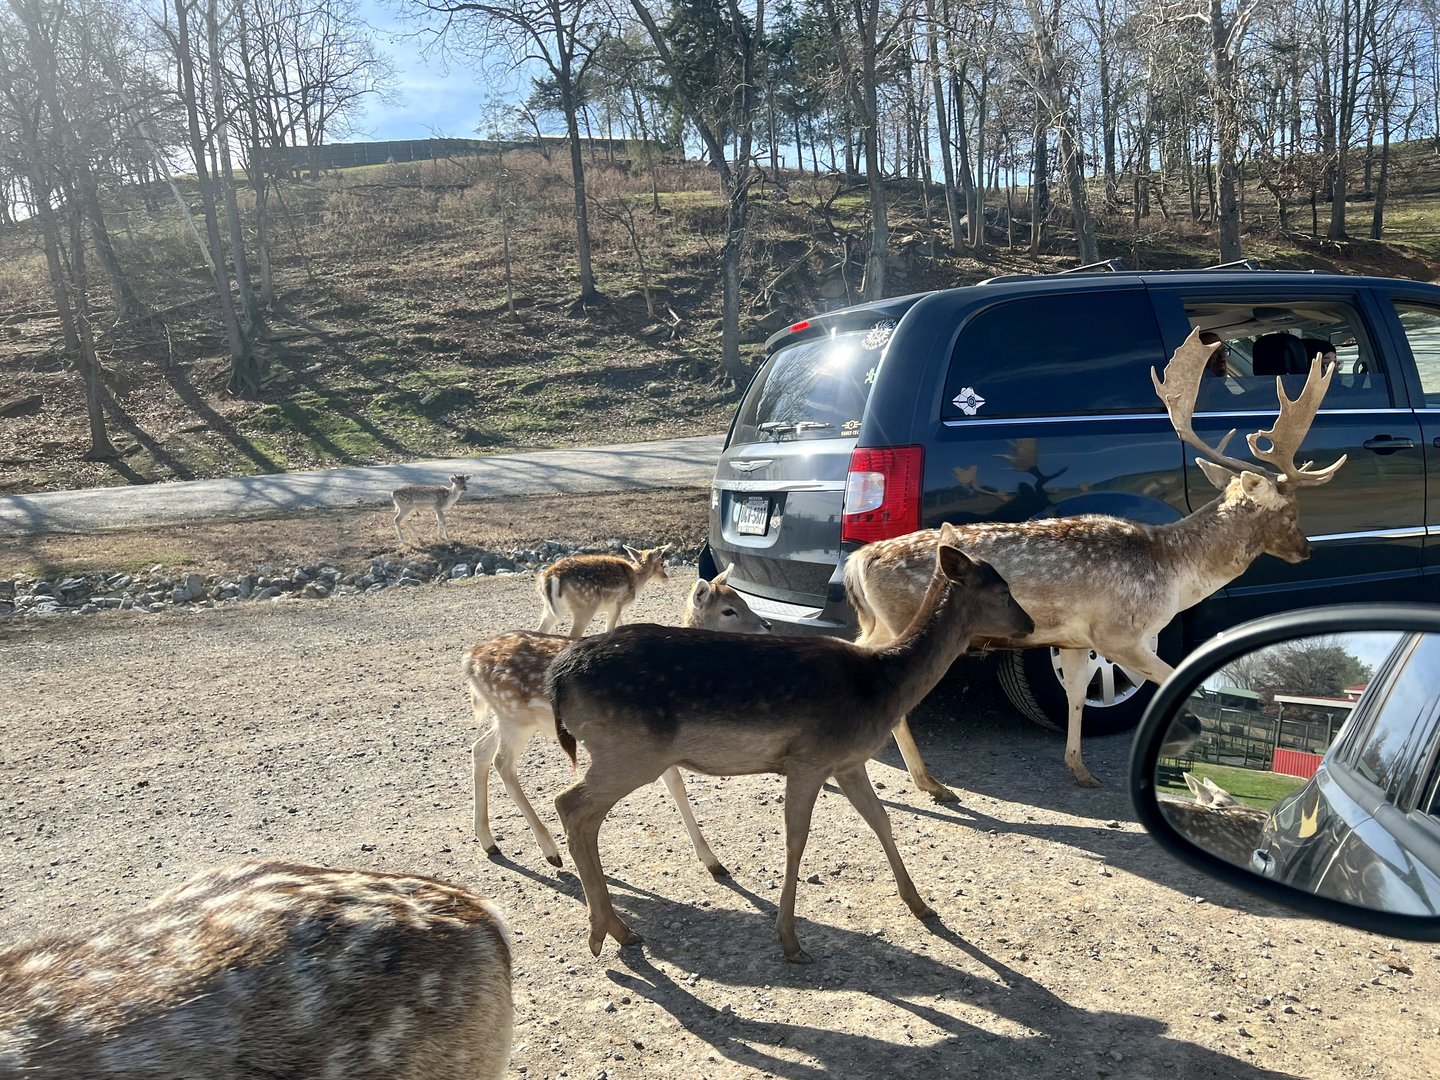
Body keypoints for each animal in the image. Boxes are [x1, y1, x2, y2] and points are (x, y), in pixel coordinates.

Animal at [464, 567, 772, 872]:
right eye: (728, 610)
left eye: (742, 599)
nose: (767, 625)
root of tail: (469, 660)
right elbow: (676, 784)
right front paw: (712, 861)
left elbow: (676, 785)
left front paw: (711, 859)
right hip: (515, 717)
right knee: (502, 762)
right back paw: (550, 850)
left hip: (507, 717)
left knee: (480, 748)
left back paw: (489, 842)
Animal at [535, 544, 671, 636]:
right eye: (661, 563)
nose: (666, 578)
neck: (637, 582)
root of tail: (551, 577)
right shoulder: (618, 604)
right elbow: (609, 629)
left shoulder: (614, 608)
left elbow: (620, 625)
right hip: (585, 607)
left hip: (550, 608)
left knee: (540, 630)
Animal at [843, 328, 1345, 794]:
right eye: (1291, 510)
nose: (1307, 549)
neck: (1175, 570)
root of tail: (859, 561)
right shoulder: (1119, 632)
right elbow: (1167, 680)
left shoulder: (1075, 637)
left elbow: (1077, 694)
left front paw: (1080, 769)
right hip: (907, 619)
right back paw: (928, 782)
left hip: (877, 621)